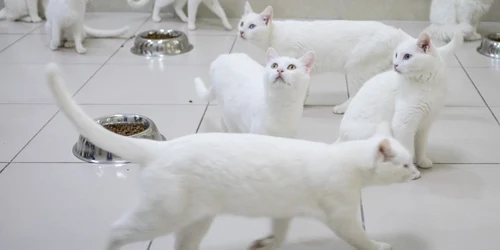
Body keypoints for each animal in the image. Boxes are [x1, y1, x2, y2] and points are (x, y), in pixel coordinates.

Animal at [47, 62, 420, 250]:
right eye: (404, 163)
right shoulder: (341, 217)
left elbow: (280, 233)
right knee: (117, 230)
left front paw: (265, 242)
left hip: (196, 221)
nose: (413, 173)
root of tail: (164, 146)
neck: (344, 160)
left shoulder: (284, 211)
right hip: (161, 215)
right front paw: (382, 246)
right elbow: (361, 238)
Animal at [240, 1, 412, 114]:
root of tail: (394, 31)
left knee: (355, 93)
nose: (241, 32)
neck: (273, 34)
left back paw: (342, 108)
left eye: (252, 26)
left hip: (355, 68)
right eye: (242, 24)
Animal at [338, 31, 462, 170]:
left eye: (407, 56)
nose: (395, 65)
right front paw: (411, 169)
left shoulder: (424, 125)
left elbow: (420, 146)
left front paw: (421, 161)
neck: (427, 84)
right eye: (396, 55)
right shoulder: (404, 124)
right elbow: (408, 150)